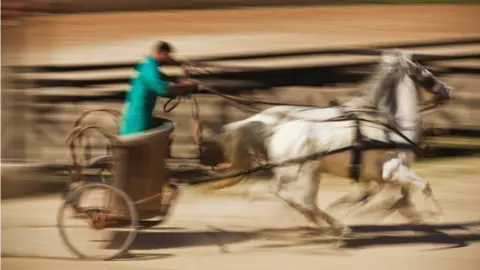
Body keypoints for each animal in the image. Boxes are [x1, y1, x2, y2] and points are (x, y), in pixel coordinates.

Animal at [208, 50, 452, 234]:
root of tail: (273, 128)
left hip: (308, 172)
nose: (448, 90)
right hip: (297, 172)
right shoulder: (393, 170)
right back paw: (334, 225)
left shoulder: (378, 177)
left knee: (286, 196)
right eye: (425, 71)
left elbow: (393, 198)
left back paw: (323, 221)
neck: (392, 128)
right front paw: (434, 213)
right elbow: (422, 188)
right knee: (289, 196)